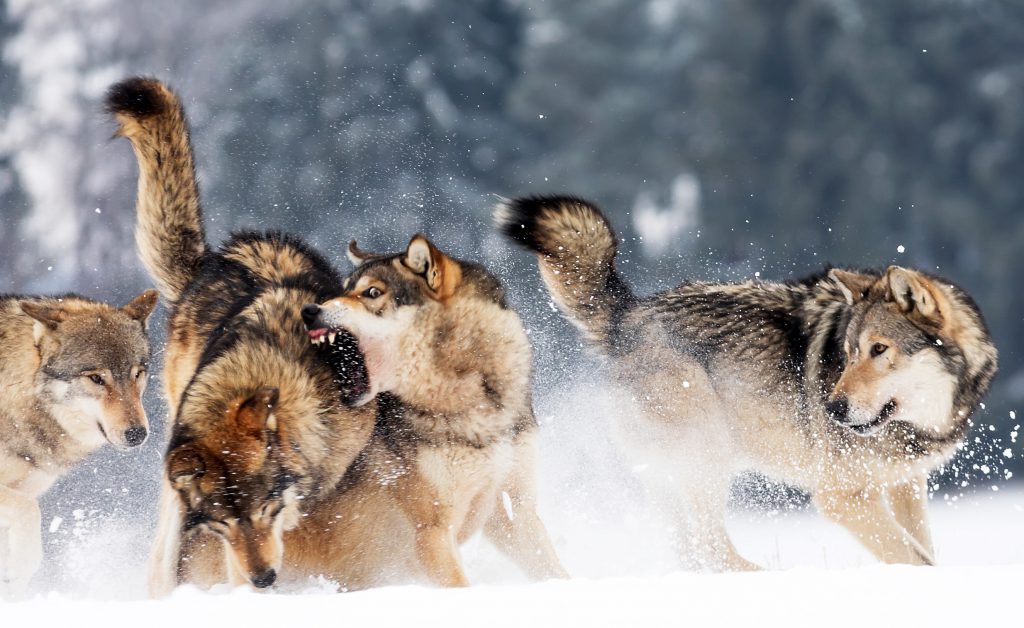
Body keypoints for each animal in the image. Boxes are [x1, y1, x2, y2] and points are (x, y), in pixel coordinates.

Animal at [1, 288, 156, 594]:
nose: (137, 434)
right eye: (96, 378)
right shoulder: (18, 500)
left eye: (137, 374)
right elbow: (30, 511)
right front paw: (18, 574)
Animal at [296, 236, 569, 585]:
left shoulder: (515, 511)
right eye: (343, 290)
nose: (309, 311)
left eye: (371, 293)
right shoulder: (432, 531)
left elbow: (558, 574)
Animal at [495, 194, 991, 569]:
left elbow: (926, 551)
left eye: (878, 350)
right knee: (714, 549)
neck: (923, 425)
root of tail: (629, 317)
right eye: (850, 354)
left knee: (692, 551)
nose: (831, 408)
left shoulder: (907, 484)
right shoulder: (841, 497)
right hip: (707, 452)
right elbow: (914, 559)